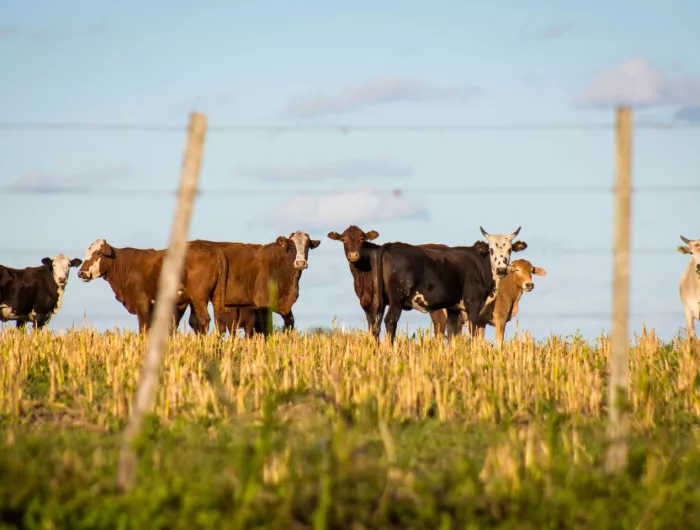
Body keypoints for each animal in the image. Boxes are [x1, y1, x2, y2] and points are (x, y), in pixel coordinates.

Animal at [76, 239, 228, 333]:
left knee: (204, 320)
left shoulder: (142, 302)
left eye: (97, 253)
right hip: (216, 296)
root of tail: (213, 249)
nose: (81, 272)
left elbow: (143, 327)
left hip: (199, 297)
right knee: (218, 322)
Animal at [188, 231, 320, 335]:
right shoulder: (263, 305)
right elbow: (266, 330)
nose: (301, 263)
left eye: (307, 246)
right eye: (291, 246)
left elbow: (290, 323)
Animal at [370, 227, 528, 343]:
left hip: (380, 301)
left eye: (509, 250)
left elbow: (452, 335)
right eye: (491, 249)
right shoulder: (473, 304)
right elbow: (474, 333)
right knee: (390, 321)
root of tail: (391, 245)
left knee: (375, 324)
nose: (501, 269)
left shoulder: (453, 309)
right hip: (397, 299)